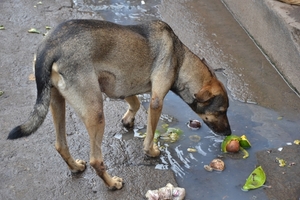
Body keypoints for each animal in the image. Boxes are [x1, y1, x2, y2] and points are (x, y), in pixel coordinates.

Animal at [7, 19, 232, 190]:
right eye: (221, 111)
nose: (229, 133)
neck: (181, 57)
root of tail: (50, 46)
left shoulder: (120, 86)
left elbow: (135, 103)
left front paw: (128, 119)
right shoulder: (156, 101)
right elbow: (150, 132)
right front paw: (151, 150)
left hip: (56, 101)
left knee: (61, 144)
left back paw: (76, 167)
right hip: (95, 113)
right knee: (96, 160)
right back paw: (112, 183)